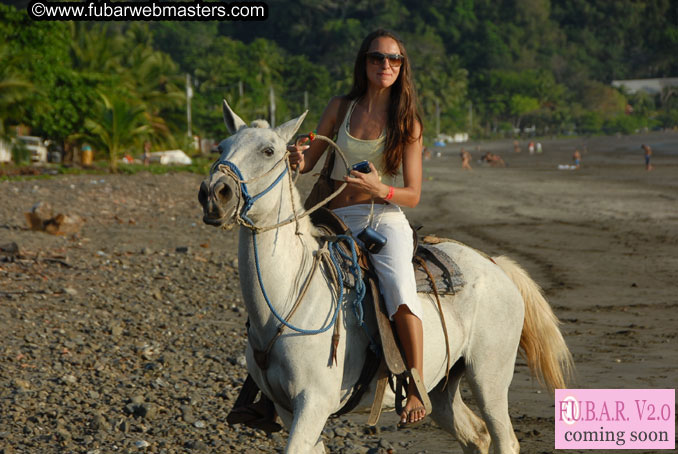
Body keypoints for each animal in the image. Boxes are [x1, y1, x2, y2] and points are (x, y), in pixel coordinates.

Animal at [198, 100, 572, 454]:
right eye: (221, 147)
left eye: (268, 151)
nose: (215, 194)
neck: (289, 297)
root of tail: (494, 263)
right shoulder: (288, 408)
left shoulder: (312, 405)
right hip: (442, 386)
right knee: (476, 436)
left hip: (489, 376)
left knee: (503, 437)